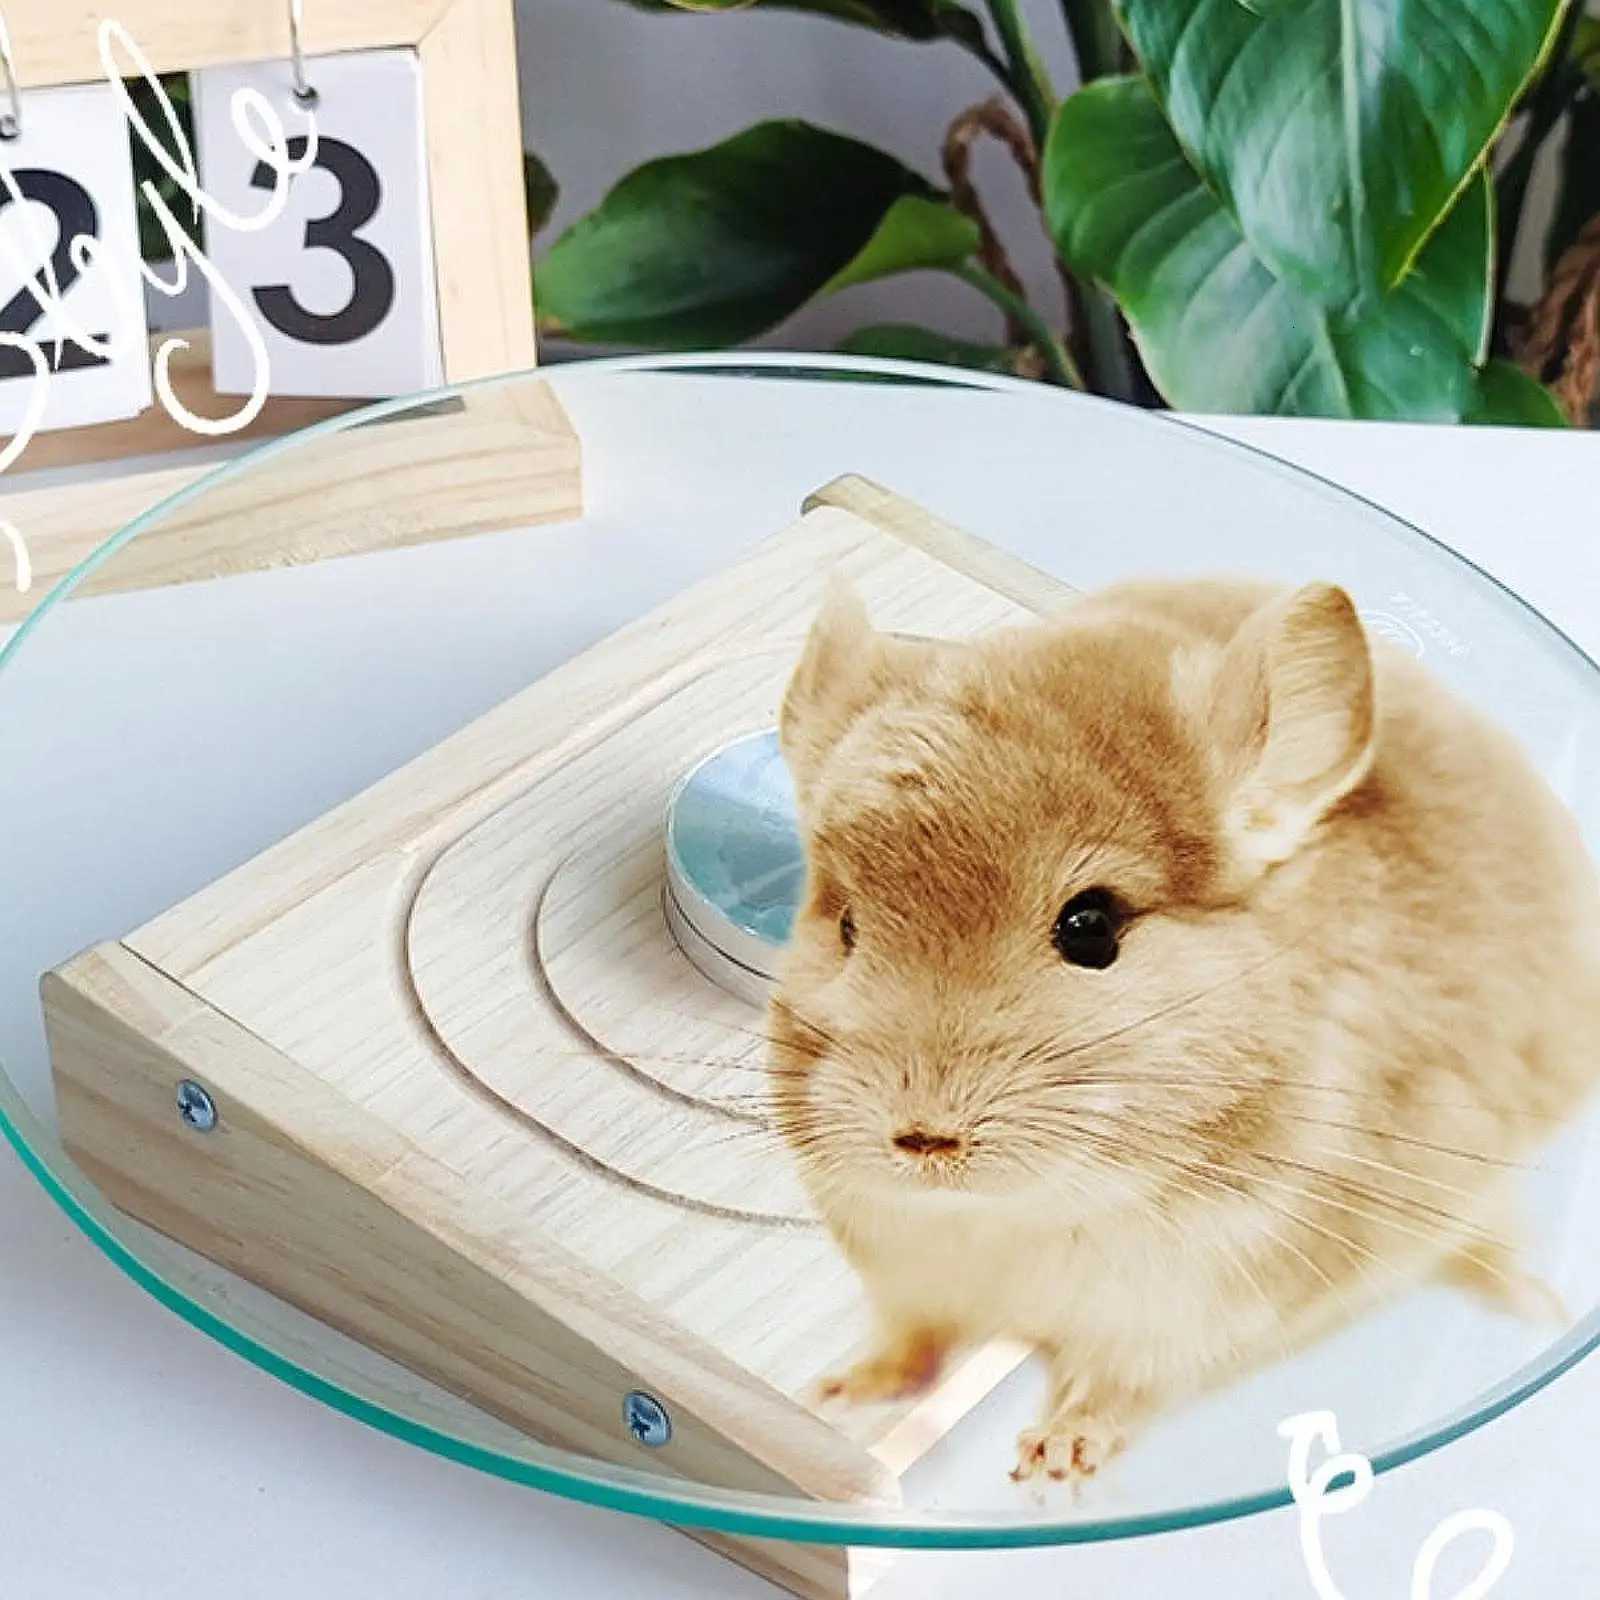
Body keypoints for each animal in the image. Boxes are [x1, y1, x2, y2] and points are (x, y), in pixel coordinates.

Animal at [770, 575, 1600, 1483]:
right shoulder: (908, 1279)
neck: (1018, 1210)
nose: (922, 1138)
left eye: (1091, 927)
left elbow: (1118, 1384)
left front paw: (1055, 1461)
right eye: (846, 925)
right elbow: (911, 1345)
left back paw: (1534, 1300)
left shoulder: (1206, 1306)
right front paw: (837, 1393)